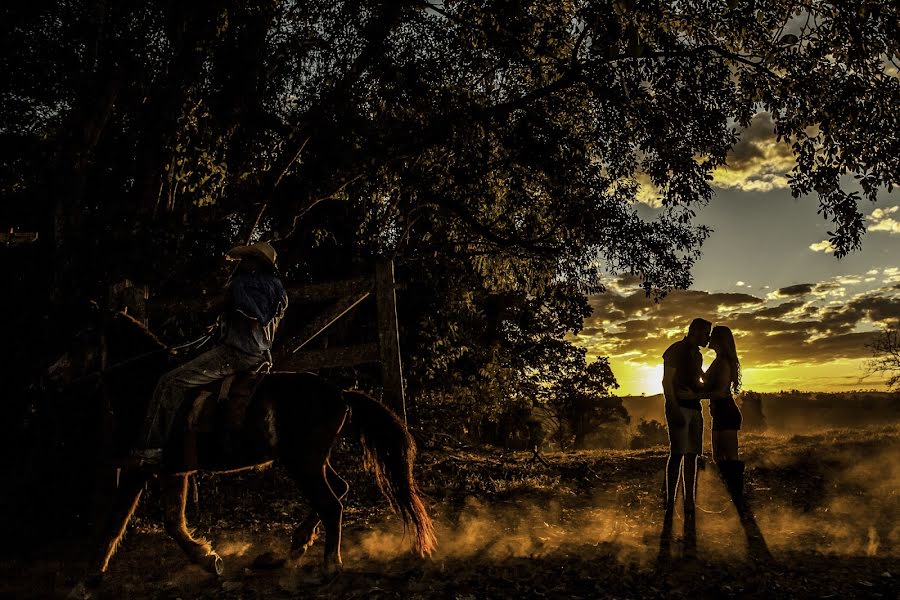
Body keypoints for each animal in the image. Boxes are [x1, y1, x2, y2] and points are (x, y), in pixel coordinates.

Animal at [48, 308, 436, 584]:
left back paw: (329, 566)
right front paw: (208, 559)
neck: (147, 387)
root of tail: (340, 394)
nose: (51, 376)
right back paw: (298, 543)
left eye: (80, 338)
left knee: (331, 504)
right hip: (313, 461)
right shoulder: (173, 471)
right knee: (339, 491)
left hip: (304, 464)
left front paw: (89, 577)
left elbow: (118, 522)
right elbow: (171, 521)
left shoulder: (141, 469)